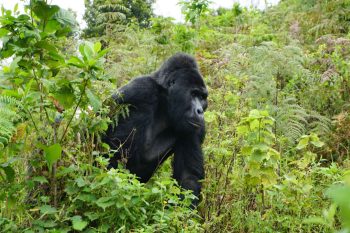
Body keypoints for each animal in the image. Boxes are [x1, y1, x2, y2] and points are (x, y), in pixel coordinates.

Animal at [103, 52, 208, 206]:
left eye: (202, 97)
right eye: (193, 94)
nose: (200, 111)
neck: (166, 102)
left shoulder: (197, 126)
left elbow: (188, 177)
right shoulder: (142, 91)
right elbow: (114, 152)